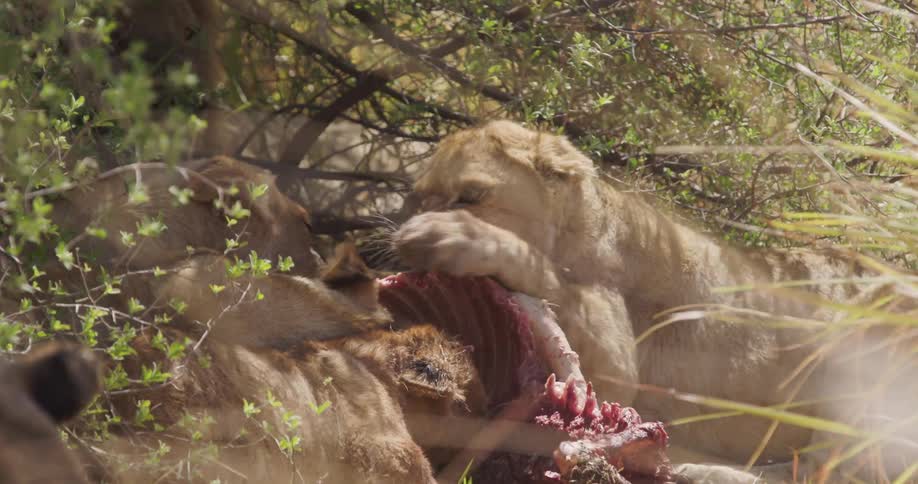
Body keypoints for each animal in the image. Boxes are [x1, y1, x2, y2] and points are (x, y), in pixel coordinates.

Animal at [393, 120, 915, 471]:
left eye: (470, 196)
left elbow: (545, 274)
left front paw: (454, 238)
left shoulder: (617, 368)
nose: (407, 223)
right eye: (417, 194)